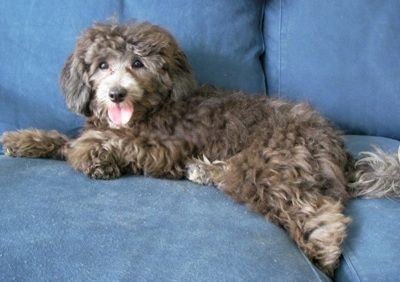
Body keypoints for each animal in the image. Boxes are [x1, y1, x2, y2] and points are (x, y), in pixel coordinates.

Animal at [1, 21, 398, 276]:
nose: (116, 94)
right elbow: (65, 140)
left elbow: (92, 145)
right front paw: (23, 140)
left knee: (315, 208)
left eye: (137, 63)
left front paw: (93, 156)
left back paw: (323, 251)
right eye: (102, 65)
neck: (153, 108)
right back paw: (204, 169)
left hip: (271, 163)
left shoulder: (163, 147)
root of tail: (337, 147)